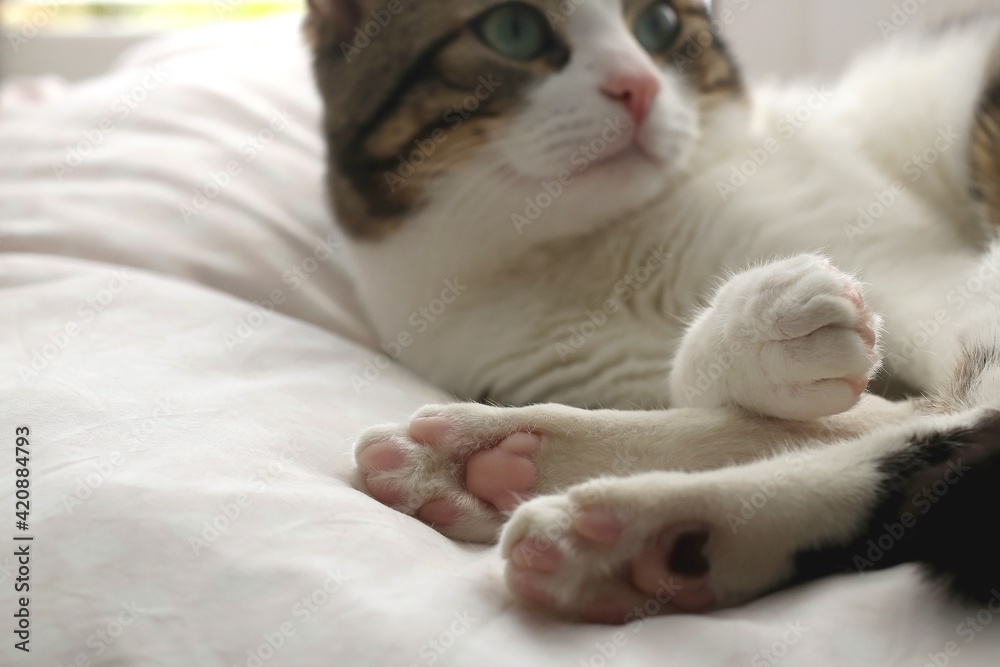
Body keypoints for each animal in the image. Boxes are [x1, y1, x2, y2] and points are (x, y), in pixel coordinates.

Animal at [304, 0, 1000, 624]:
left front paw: (761, 324)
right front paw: (757, 339)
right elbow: (737, 401)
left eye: (659, 26)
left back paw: (642, 527)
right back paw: (493, 464)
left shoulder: (920, 270)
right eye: (515, 30)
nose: (637, 86)